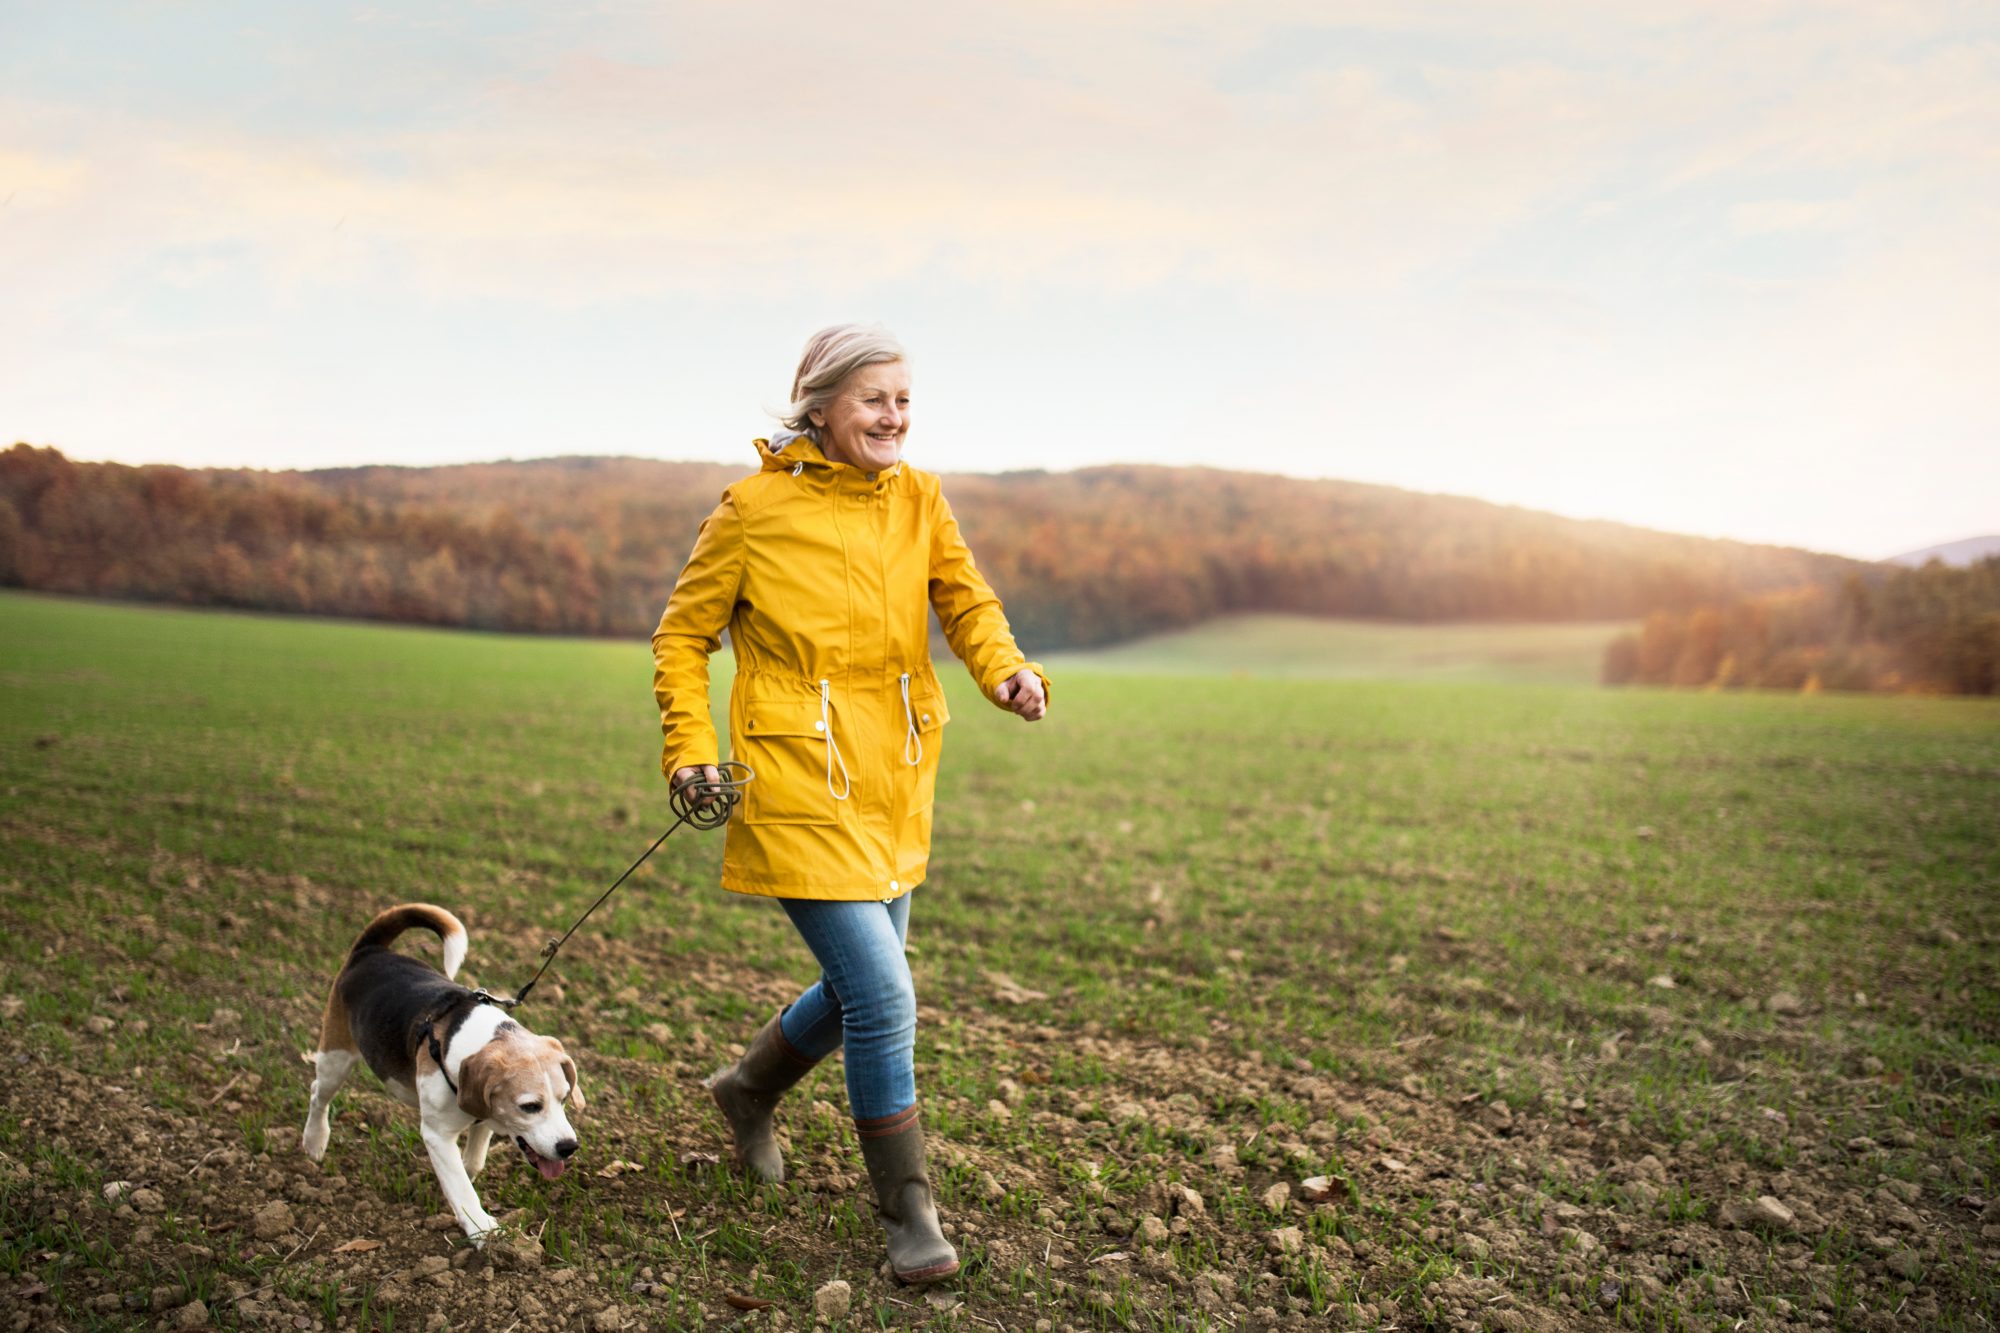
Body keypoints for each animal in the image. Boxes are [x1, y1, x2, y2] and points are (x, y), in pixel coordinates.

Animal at [300, 896, 584, 1240]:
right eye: (530, 1106)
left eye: (565, 1099)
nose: (569, 1147)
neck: (480, 1040)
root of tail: (370, 950)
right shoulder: (437, 1134)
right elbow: (461, 1185)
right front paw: (482, 1230)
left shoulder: (483, 1117)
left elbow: (470, 1165)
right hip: (336, 1057)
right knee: (318, 1093)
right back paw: (314, 1141)